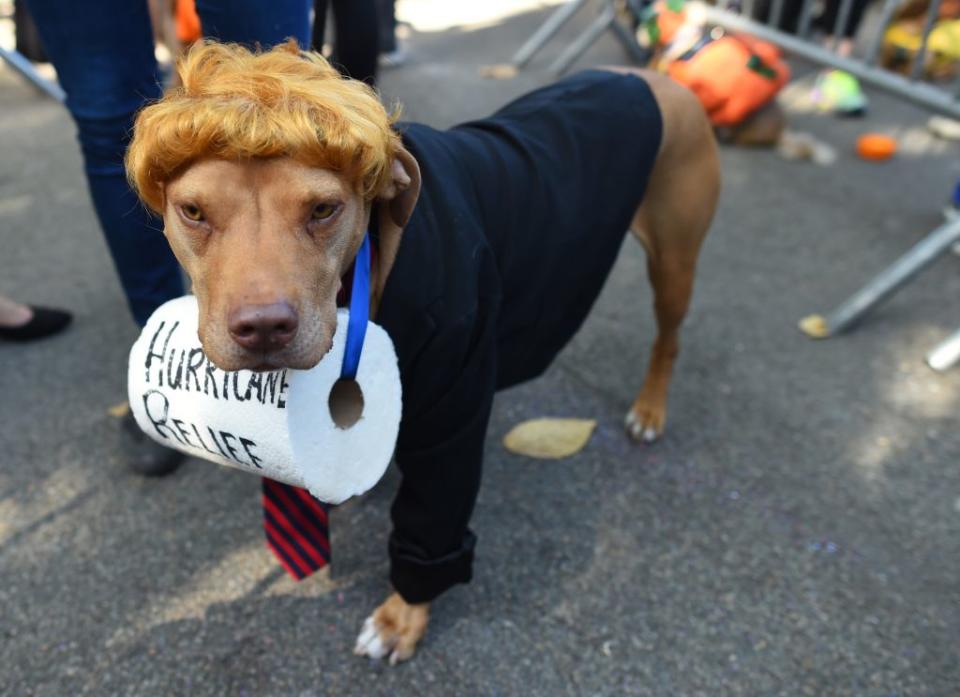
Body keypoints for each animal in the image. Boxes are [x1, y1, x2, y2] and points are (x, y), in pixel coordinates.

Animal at [129, 40, 720, 660]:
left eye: (323, 210)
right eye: (194, 212)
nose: (264, 327)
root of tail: (657, 78)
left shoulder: (450, 427)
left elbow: (430, 519)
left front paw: (402, 616)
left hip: (674, 262)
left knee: (669, 339)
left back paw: (650, 409)